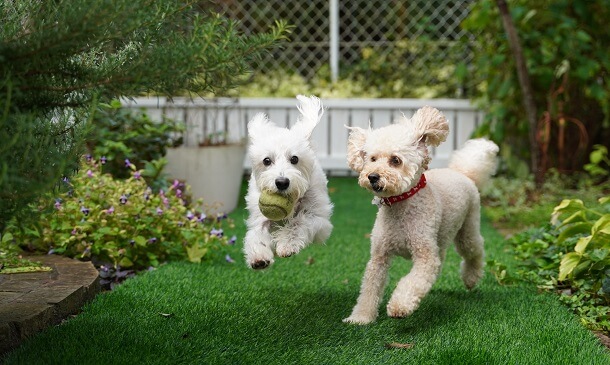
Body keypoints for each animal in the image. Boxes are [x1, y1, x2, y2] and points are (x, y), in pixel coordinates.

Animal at [242, 95, 332, 268]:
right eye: (267, 160)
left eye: (294, 159)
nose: (282, 182)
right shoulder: (259, 217)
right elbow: (257, 234)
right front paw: (259, 257)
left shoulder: (319, 218)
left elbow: (300, 222)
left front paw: (287, 244)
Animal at [340, 106, 496, 324]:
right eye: (372, 159)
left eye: (395, 160)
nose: (372, 176)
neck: (400, 206)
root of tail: (463, 173)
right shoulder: (379, 256)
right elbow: (369, 289)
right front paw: (361, 317)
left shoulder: (424, 256)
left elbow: (412, 281)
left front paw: (400, 306)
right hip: (440, 238)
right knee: (441, 260)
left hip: (467, 229)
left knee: (475, 250)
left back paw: (471, 278)